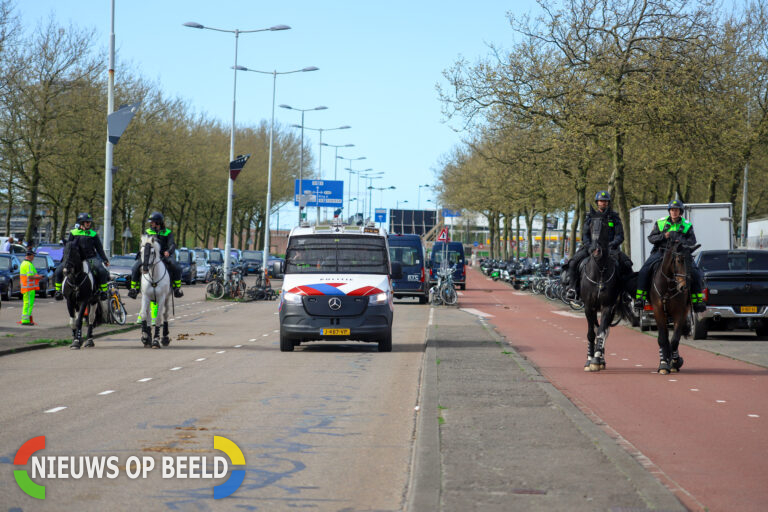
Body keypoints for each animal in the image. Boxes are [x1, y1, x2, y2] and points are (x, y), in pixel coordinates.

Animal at [584, 208, 632, 372]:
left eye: (605, 224)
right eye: (590, 224)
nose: (595, 250)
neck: (600, 270)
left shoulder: (607, 306)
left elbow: (601, 333)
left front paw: (596, 359)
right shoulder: (589, 307)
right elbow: (591, 334)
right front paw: (589, 360)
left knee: (605, 331)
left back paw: (601, 359)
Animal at [648, 238, 704, 374]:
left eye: (691, 260)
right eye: (679, 260)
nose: (685, 287)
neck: (668, 285)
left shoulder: (679, 312)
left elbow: (675, 340)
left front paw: (674, 362)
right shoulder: (658, 311)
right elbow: (662, 338)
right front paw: (663, 364)